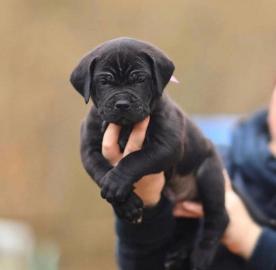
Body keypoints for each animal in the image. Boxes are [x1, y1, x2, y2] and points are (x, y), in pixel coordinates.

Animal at [69, 37, 229, 270]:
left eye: (140, 79)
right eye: (105, 81)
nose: (122, 104)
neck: (125, 127)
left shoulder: (167, 145)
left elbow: (134, 159)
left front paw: (116, 183)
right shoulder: (89, 149)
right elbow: (100, 170)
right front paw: (127, 206)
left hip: (209, 174)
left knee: (218, 217)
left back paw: (202, 255)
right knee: (188, 225)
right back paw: (178, 253)